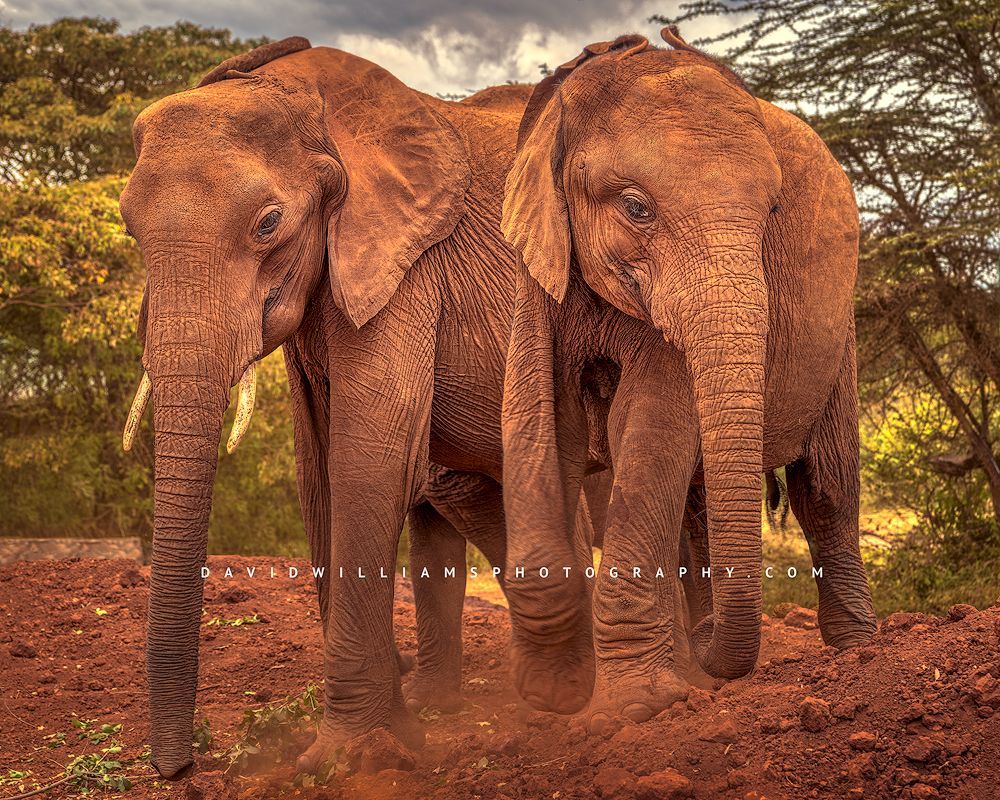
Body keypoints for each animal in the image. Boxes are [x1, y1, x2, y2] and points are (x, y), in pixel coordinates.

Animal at [118, 37, 606, 777]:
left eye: (268, 225)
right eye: (128, 228)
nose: (179, 768)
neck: (299, 94)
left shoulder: (409, 265)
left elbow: (367, 458)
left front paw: (344, 758)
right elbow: (317, 474)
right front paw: (399, 731)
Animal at [497, 29, 878, 728]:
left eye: (772, 215)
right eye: (636, 208)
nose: (706, 644)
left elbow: (652, 427)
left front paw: (636, 709)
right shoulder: (539, 275)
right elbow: (537, 419)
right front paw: (554, 695)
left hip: (841, 338)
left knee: (824, 488)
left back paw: (857, 650)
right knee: (700, 502)